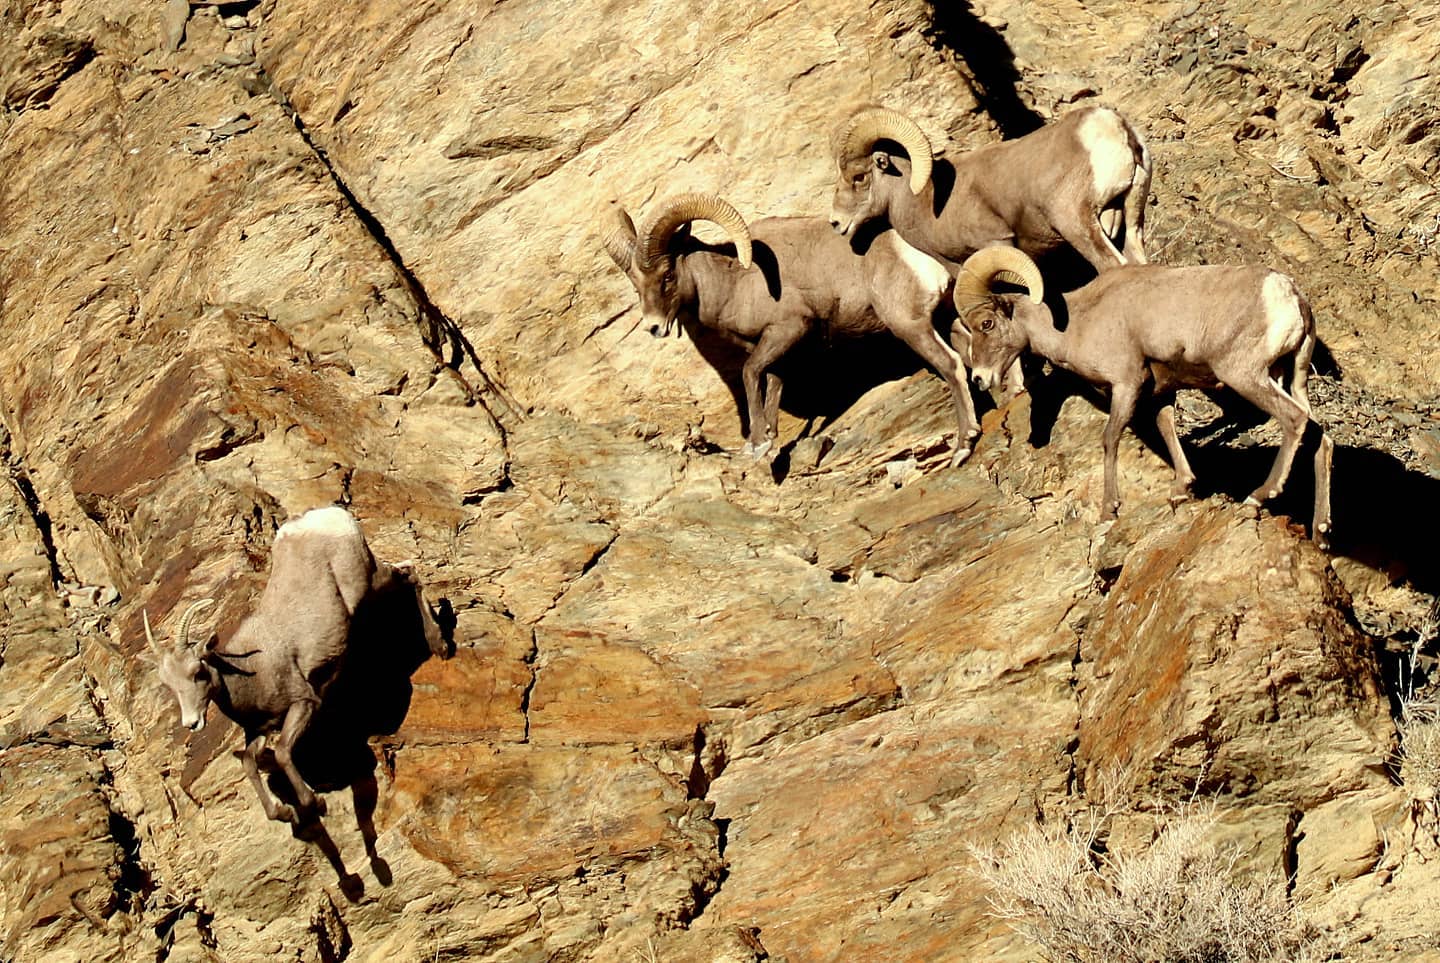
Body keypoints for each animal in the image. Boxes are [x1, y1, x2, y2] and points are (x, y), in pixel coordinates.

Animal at [144, 506, 447, 823]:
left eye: (198, 671)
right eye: (169, 685)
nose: (191, 723)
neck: (254, 673)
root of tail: (327, 516)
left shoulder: (304, 703)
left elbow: (281, 753)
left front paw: (314, 803)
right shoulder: (261, 730)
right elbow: (249, 763)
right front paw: (283, 812)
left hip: (367, 581)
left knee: (409, 573)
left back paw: (439, 644)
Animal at [604, 191, 985, 465]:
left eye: (668, 275)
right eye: (637, 284)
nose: (654, 327)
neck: (736, 281)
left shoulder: (787, 330)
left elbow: (751, 374)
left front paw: (757, 443)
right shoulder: (778, 348)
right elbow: (773, 383)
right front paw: (770, 439)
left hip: (911, 325)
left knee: (951, 365)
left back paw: (963, 446)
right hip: (949, 320)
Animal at [829, 104, 1153, 273]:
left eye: (859, 177)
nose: (836, 222)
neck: (926, 203)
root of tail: (1114, 126)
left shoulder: (994, 246)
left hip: (1077, 223)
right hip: (1130, 217)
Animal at [953, 245, 1334, 543]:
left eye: (986, 324)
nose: (980, 379)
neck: (1079, 321)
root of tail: (1287, 294)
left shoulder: (1126, 385)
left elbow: (1110, 439)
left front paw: (1109, 510)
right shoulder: (1160, 393)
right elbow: (1167, 429)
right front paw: (1181, 490)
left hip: (1245, 376)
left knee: (1294, 421)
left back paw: (1258, 496)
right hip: (1290, 377)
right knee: (1319, 435)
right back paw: (1321, 531)